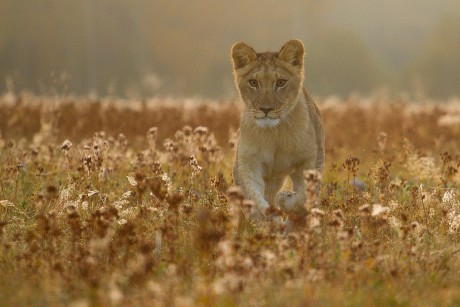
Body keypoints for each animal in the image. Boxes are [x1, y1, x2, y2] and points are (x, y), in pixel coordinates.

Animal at [230, 40, 324, 219]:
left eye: (280, 82)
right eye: (253, 83)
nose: (266, 109)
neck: (275, 133)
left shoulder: (312, 159)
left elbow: (304, 197)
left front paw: (286, 199)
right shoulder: (247, 161)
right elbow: (252, 195)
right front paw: (267, 217)